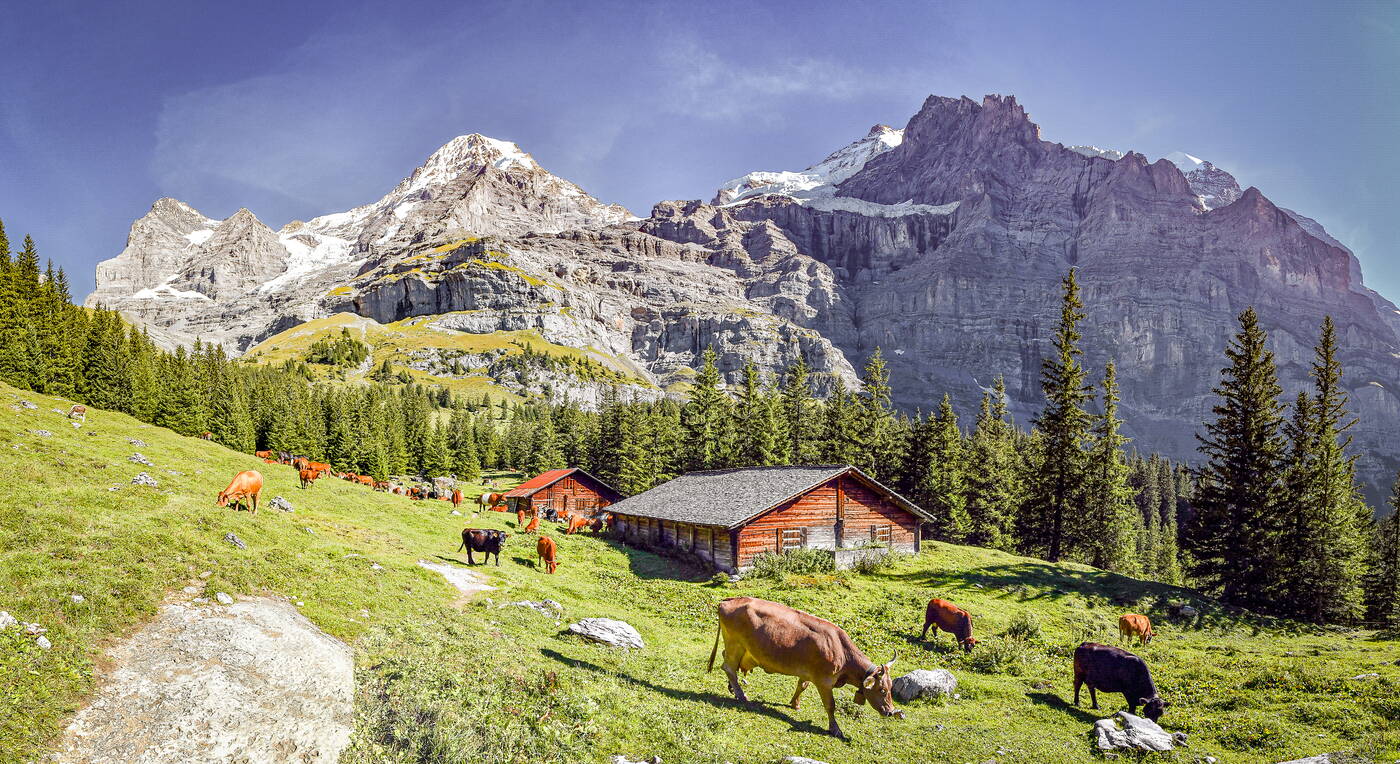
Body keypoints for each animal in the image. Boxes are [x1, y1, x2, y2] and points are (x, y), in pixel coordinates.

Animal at [705, 593, 901, 738]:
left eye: (891, 687)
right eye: (882, 690)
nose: (891, 712)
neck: (842, 651)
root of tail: (729, 600)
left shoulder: (808, 672)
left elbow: (802, 685)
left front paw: (795, 704)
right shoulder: (824, 682)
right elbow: (831, 705)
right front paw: (835, 729)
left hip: (740, 648)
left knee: (728, 662)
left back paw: (733, 688)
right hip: (735, 643)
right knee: (729, 667)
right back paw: (741, 695)